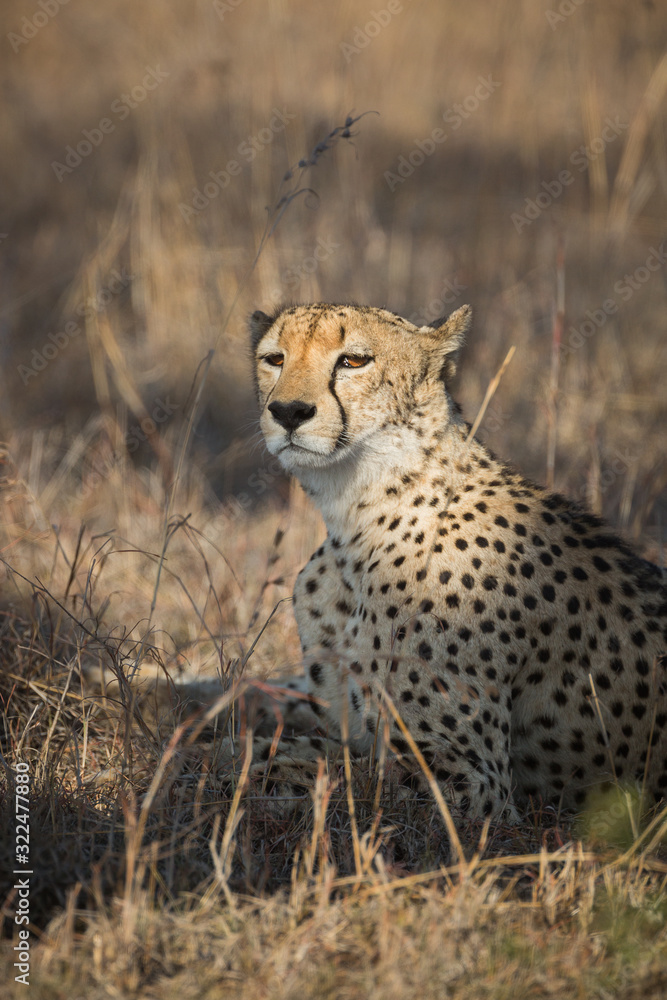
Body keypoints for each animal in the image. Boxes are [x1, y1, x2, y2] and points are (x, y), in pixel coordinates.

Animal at [246, 300, 667, 821]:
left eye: (354, 361)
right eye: (275, 359)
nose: (288, 412)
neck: (357, 513)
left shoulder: (476, 787)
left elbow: (333, 776)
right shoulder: (357, 732)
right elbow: (307, 749)